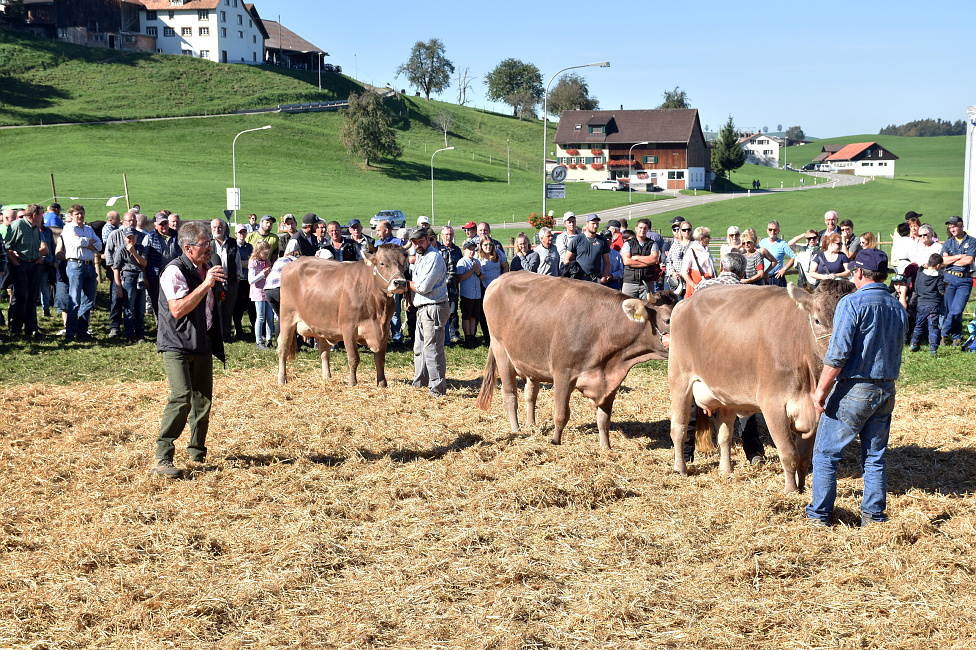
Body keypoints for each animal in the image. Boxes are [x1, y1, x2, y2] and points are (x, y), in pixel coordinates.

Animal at [278, 244, 408, 384]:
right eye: (382, 263)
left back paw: (327, 377)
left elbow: (380, 359)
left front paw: (382, 384)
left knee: (324, 351)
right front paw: (352, 383)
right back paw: (282, 379)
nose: (400, 282)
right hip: (287, 317)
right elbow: (353, 358)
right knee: (283, 348)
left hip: (320, 324)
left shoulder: (385, 329)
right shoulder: (349, 328)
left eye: (405, 264)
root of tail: (293, 263)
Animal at [476, 270, 676, 448]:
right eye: (667, 320)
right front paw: (555, 441)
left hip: (530, 361)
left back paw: (530, 424)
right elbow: (561, 414)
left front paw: (606, 447)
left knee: (530, 394)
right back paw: (516, 428)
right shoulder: (563, 373)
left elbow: (604, 419)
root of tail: (500, 279)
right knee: (510, 395)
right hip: (501, 351)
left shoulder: (610, 381)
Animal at [672, 280, 856, 492]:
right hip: (679, 379)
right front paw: (791, 491)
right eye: (817, 320)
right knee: (679, 428)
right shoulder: (773, 405)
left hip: (726, 393)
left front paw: (801, 488)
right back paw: (680, 469)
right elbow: (789, 453)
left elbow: (803, 457)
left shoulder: (815, 410)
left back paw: (726, 470)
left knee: (724, 433)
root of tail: (685, 302)